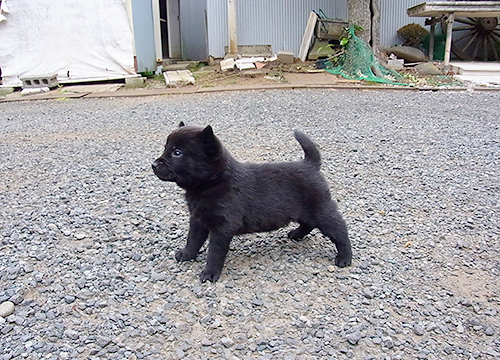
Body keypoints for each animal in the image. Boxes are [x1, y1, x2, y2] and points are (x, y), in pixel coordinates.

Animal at [152, 124, 352, 282]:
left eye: (177, 152)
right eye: (166, 148)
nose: (154, 164)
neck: (212, 182)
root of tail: (310, 164)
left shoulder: (223, 226)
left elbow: (214, 252)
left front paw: (209, 273)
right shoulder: (198, 220)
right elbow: (193, 240)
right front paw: (186, 255)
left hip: (320, 209)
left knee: (339, 229)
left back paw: (345, 258)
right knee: (308, 223)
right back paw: (296, 234)